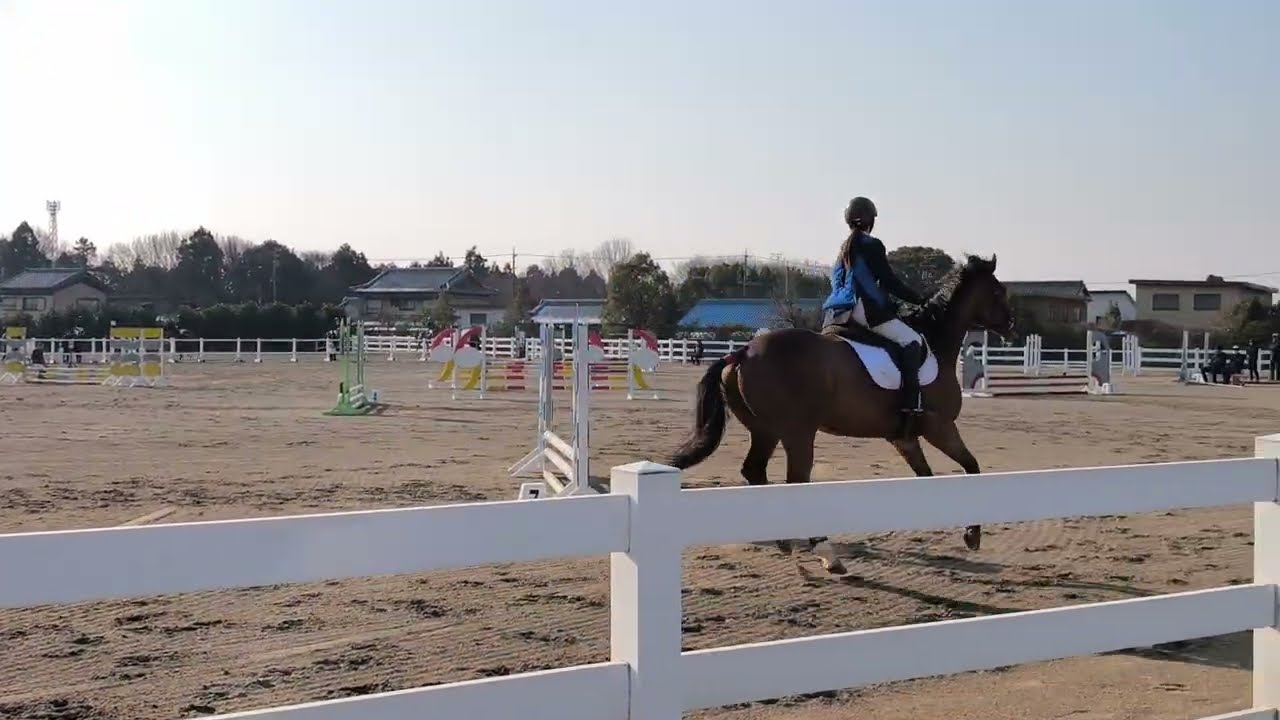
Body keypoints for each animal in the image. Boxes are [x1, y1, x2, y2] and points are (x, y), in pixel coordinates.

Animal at [669, 254, 1015, 574]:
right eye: (998, 291)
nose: (1010, 327)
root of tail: (744, 351)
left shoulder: (904, 438)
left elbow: (926, 477)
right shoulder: (939, 426)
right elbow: (972, 468)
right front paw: (972, 535)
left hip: (766, 431)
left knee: (756, 470)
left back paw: (785, 540)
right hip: (797, 433)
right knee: (796, 480)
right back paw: (825, 551)